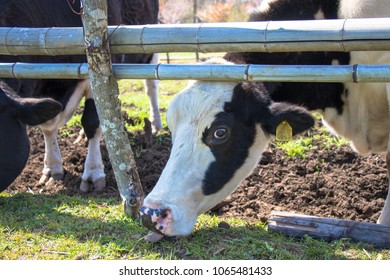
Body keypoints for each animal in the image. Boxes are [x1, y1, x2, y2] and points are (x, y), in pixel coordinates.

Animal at [0, 0, 161, 192]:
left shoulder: (96, 69)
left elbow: (92, 121)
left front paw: (93, 173)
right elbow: (47, 124)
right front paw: (52, 168)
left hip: (149, 48)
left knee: (151, 86)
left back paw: (155, 124)